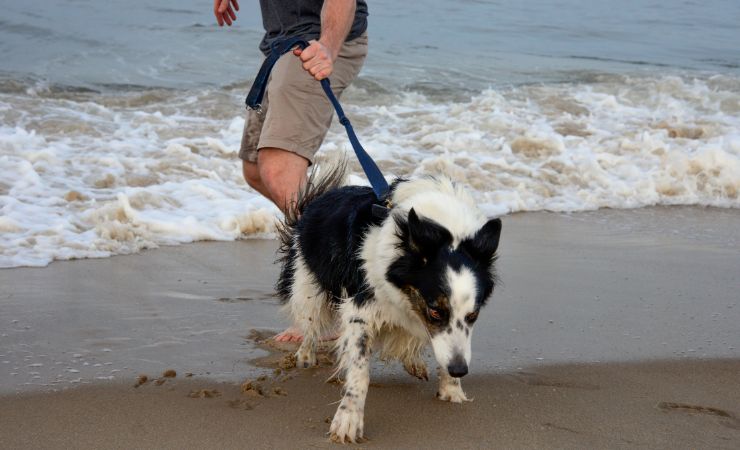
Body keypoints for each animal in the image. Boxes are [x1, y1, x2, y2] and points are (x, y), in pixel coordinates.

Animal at [278, 163, 502, 442]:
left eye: (473, 316)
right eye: (435, 312)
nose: (459, 370)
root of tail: (316, 199)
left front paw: (451, 388)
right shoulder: (360, 307)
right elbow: (359, 370)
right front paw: (348, 419)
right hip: (306, 285)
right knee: (310, 323)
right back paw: (305, 356)